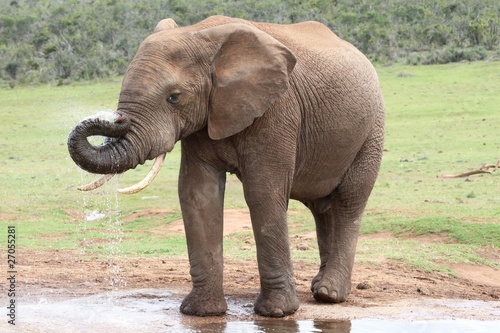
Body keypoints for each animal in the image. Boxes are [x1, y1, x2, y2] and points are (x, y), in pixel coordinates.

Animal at [67, 15, 386, 316]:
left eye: (174, 97)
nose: (117, 119)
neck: (201, 36)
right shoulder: (204, 118)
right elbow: (197, 194)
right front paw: (201, 312)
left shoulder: (276, 111)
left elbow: (263, 194)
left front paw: (277, 312)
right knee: (322, 209)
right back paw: (320, 287)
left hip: (372, 130)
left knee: (349, 202)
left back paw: (329, 294)